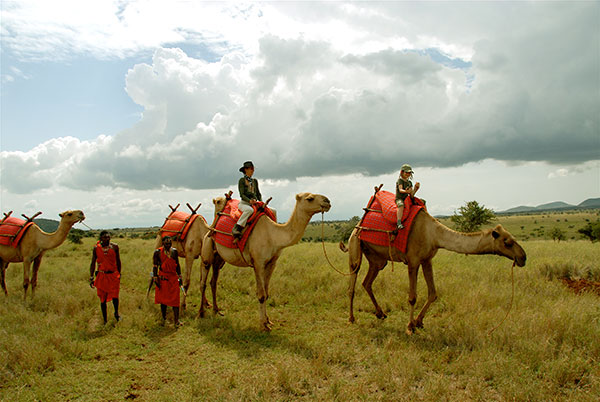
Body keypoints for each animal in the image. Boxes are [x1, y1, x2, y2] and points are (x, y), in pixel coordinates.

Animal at [200, 193, 332, 332]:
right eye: (310, 198)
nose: (327, 201)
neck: (273, 235)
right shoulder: (258, 263)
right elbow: (261, 295)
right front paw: (263, 325)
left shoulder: (272, 263)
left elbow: (267, 293)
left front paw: (268, 320)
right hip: (207, 246)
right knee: (203, 281)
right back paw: (201, 313)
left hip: (218, 257)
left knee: (213, 281)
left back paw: (216, 310)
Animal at [340, 209, 528, 334]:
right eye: (507, 242)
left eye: (513, 239)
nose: (523, 257)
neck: (434, 234)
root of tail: (356, 226)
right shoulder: (413, 261)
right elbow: (412, 297)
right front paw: (410, 327)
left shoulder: (427, 260)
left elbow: (433, 293)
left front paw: (418, 322)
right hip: (355, 246)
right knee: (352, 285)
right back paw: (351, 319)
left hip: (378, 260)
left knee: (367, 282)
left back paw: (380, 314)